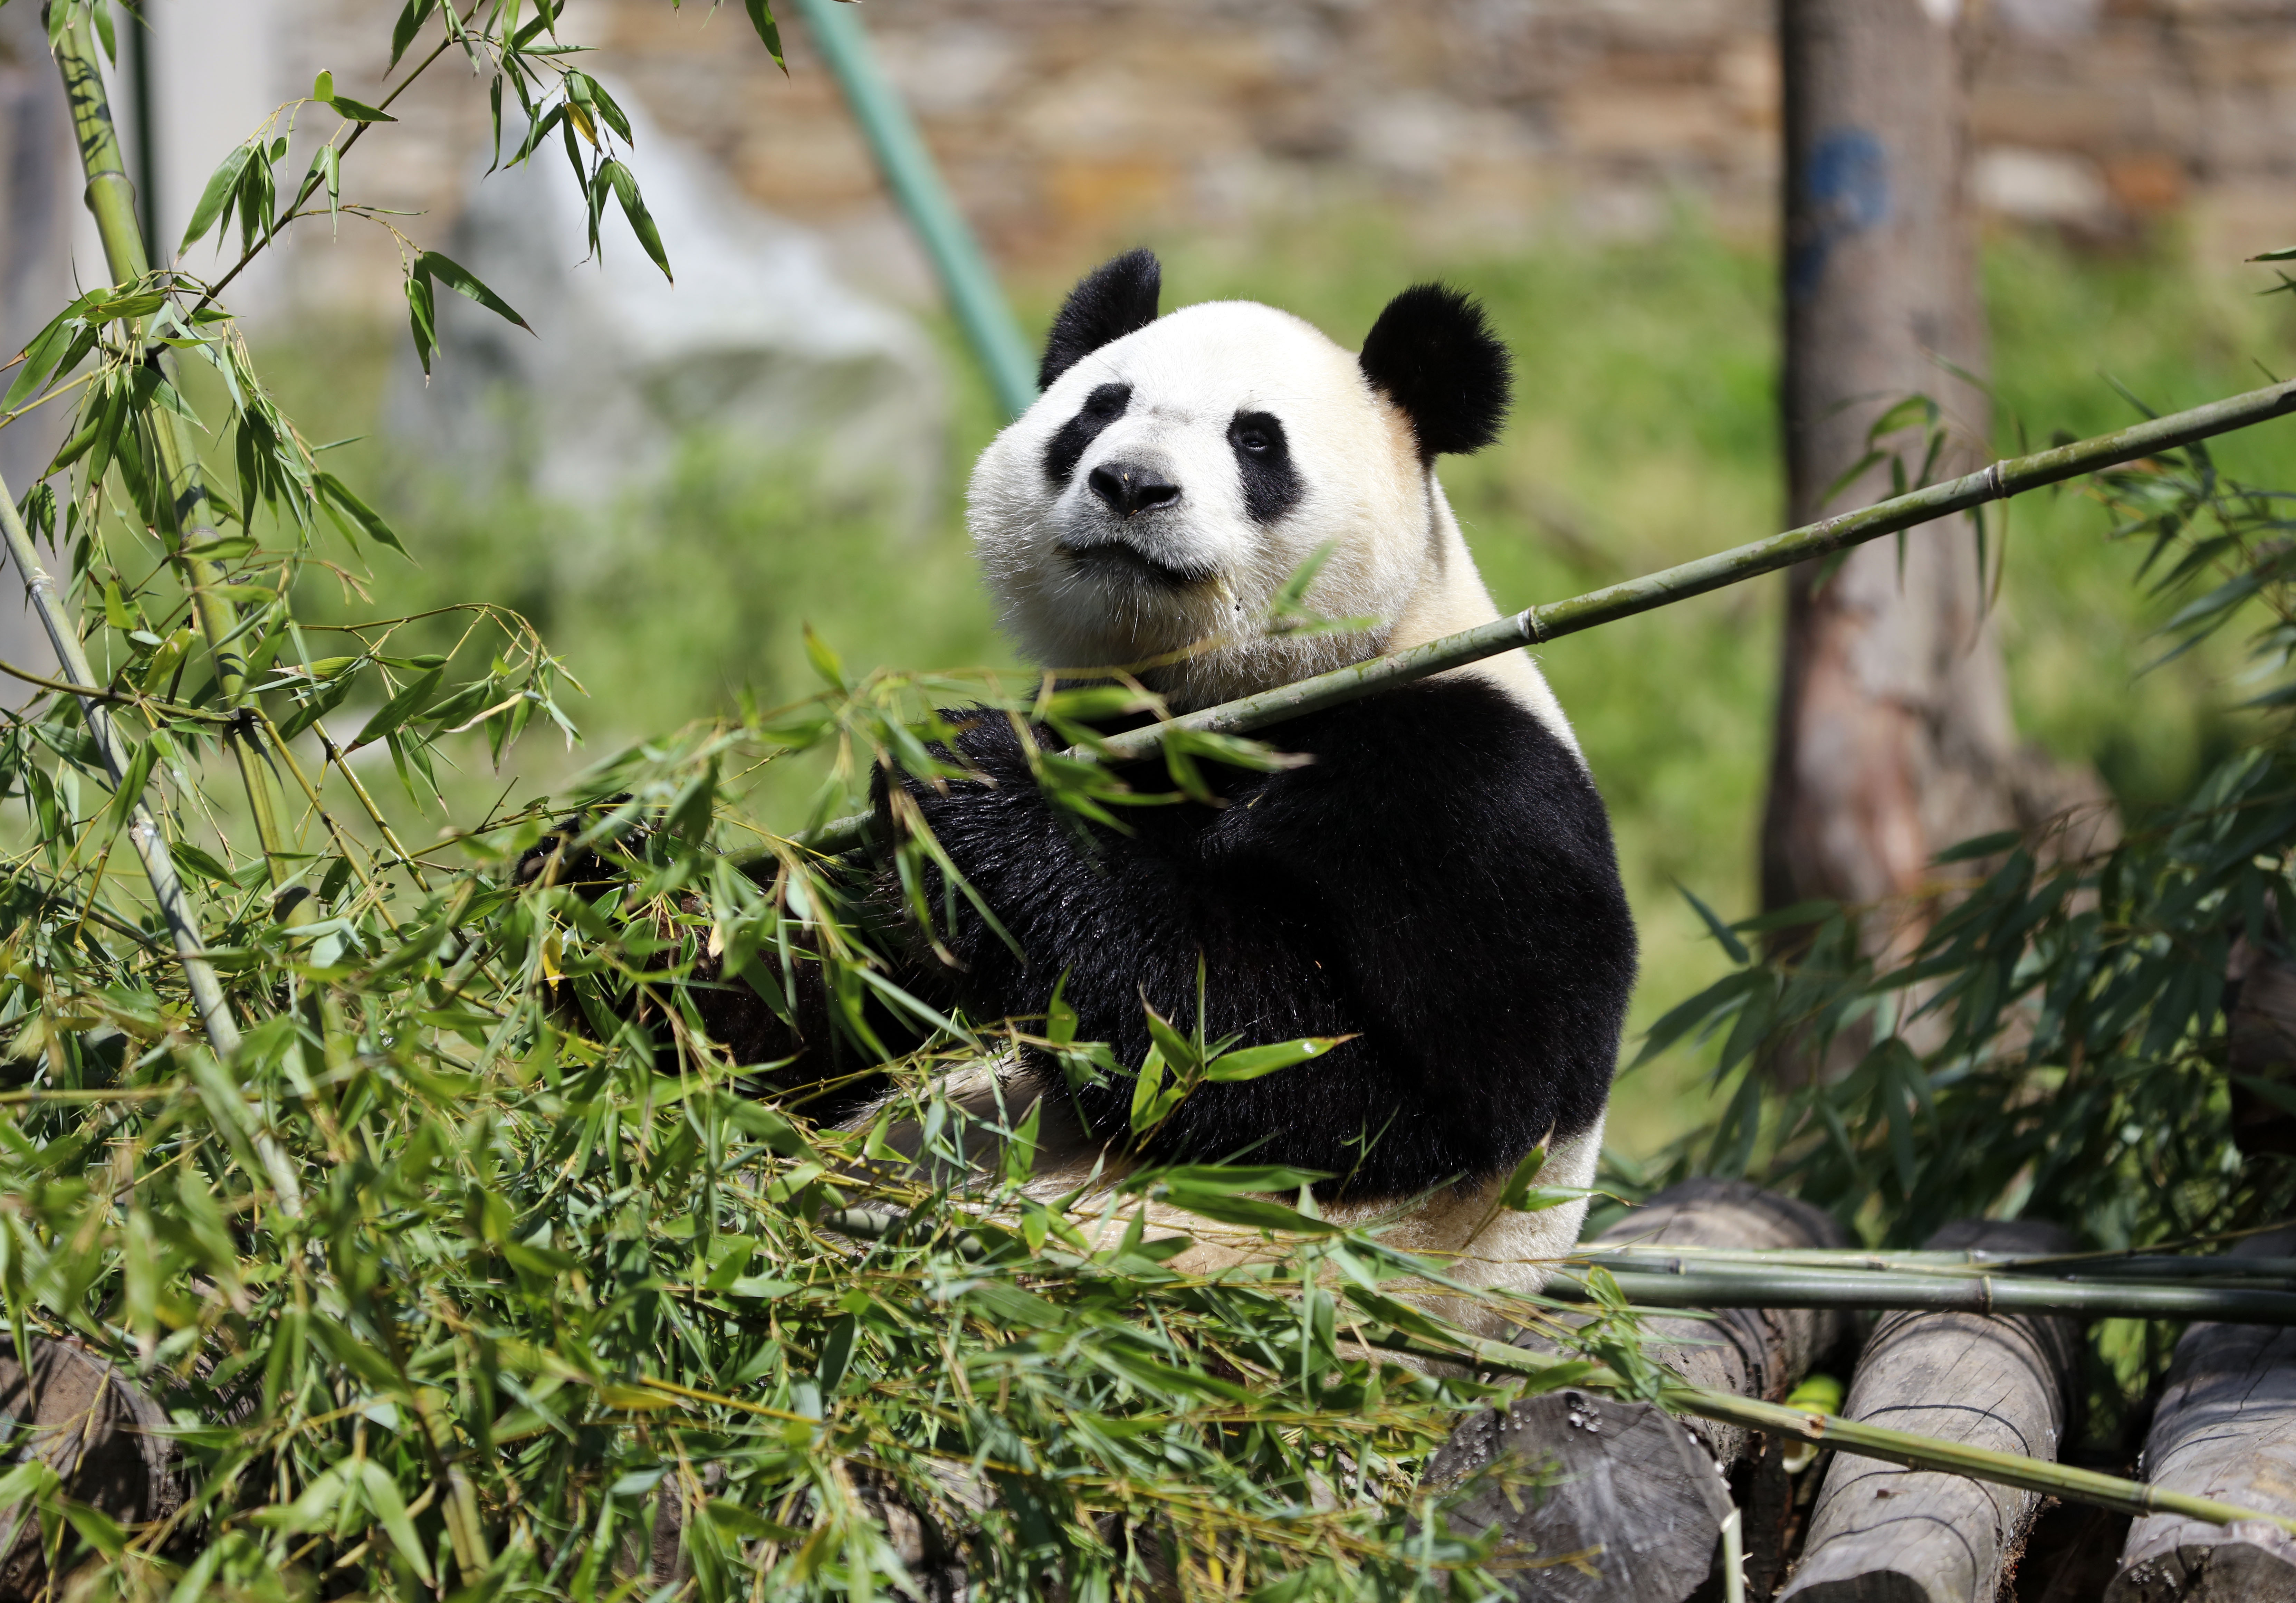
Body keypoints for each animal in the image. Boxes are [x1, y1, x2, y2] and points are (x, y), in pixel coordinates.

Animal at [817, 250, 1644, 1314]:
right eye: (1099, 408)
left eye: (1255, 440)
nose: (1130, 484)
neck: (1219, 695)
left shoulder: (1468, 789)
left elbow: (1349, 1086)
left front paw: (976, 789)